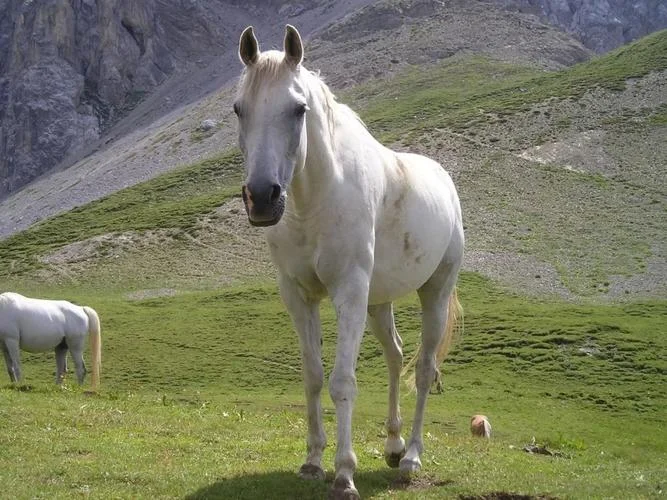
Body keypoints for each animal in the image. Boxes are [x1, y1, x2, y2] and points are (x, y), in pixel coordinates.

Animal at [234, 25, 464, 499]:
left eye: (298, 109)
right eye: (238, 109)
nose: (262, 198)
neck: (314, 202)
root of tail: (445, 180)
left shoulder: (348, 294)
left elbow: (343, 382)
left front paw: (344, 473)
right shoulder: (299, 297)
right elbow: (313, 376)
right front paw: (312, 461)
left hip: (433, 292)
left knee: (424, 367)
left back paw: (411, 457)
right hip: (378, 303)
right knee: (396, 356)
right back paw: (393, 445)